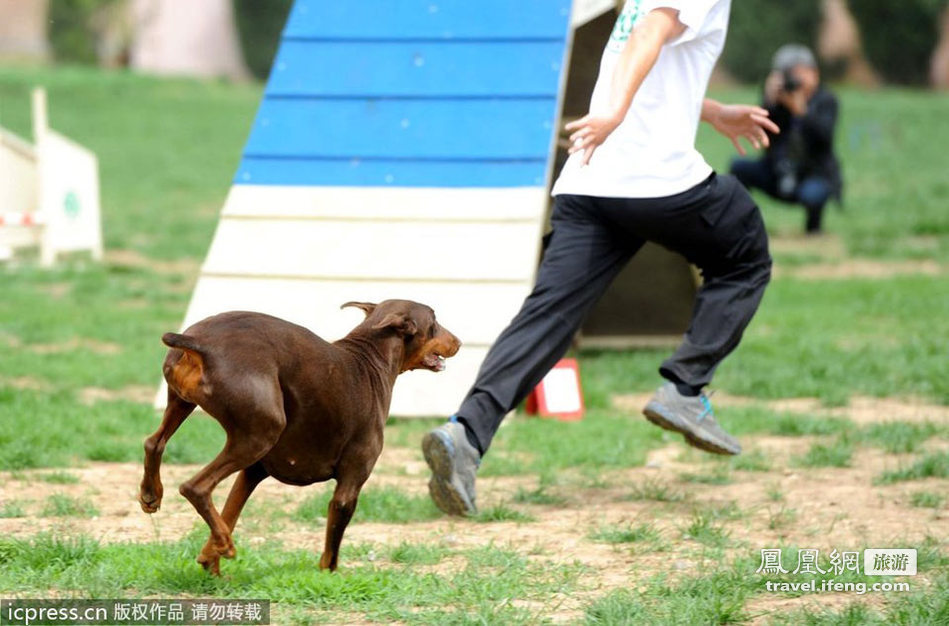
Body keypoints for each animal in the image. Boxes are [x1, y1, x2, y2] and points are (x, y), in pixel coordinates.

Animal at [137, 300, 460, 572]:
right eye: (434, 321)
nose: (458, 341)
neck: (371, 360)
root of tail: (199, 341)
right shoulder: (350, 484)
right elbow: (332, 549)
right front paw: (328, 576)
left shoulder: (252, 472)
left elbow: (230, 512)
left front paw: (210, 560)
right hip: (260, 434)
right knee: (195, 486)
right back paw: (226, 542)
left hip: (183, 403)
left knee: (154, 442)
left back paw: (152, 495)